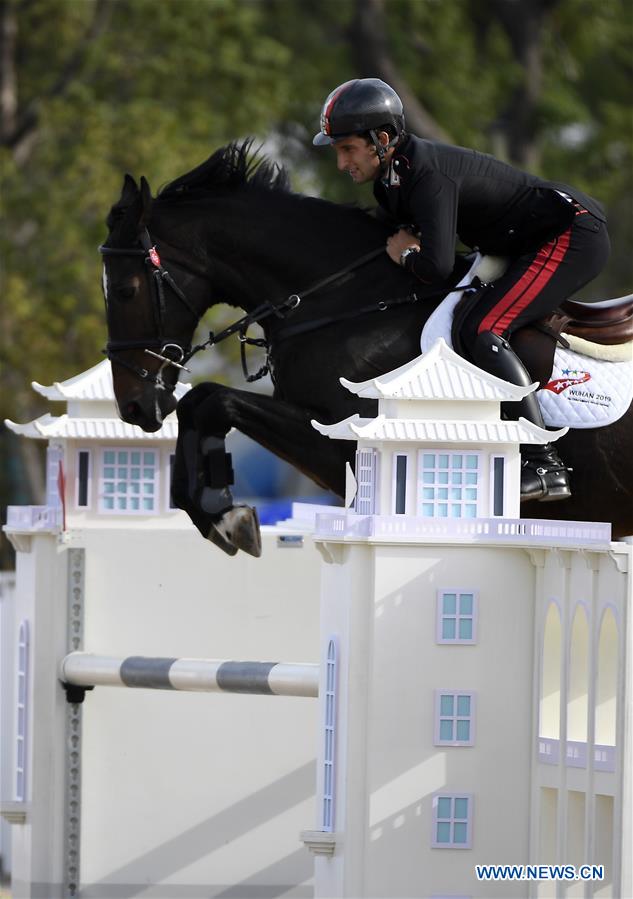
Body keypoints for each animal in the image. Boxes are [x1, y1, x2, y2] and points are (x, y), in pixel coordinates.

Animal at [100, 139, 632, 556]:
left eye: (125, 290)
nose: (133, 407)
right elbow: (203, 400)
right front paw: (219, 512)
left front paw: (223, 516)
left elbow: (213, 399)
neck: (352, 299)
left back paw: (541, 475)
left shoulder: (342, 441)